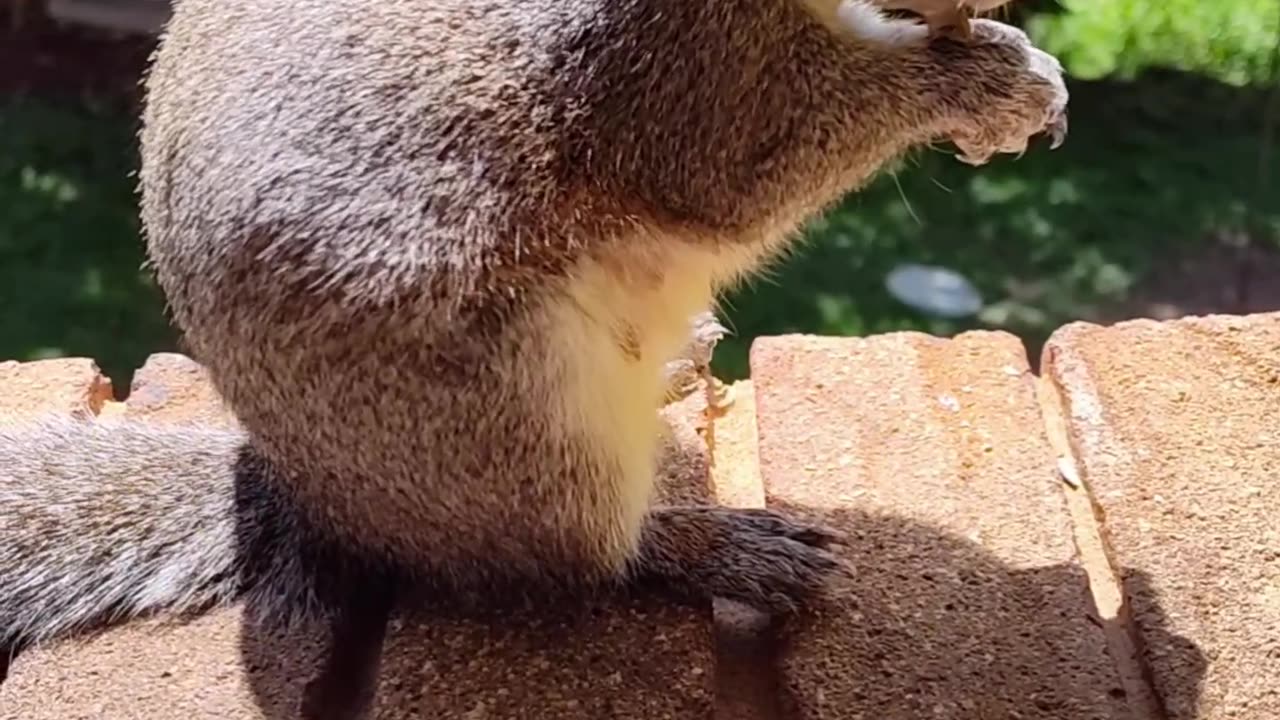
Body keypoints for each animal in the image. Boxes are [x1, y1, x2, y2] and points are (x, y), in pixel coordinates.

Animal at [0, 0, 1067, 717]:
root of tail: (335, 500)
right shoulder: (670, 83)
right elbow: (747, 163)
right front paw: (980, 86)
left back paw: (680, 368)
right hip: (524, 429)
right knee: (577, 559)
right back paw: (714, 546)